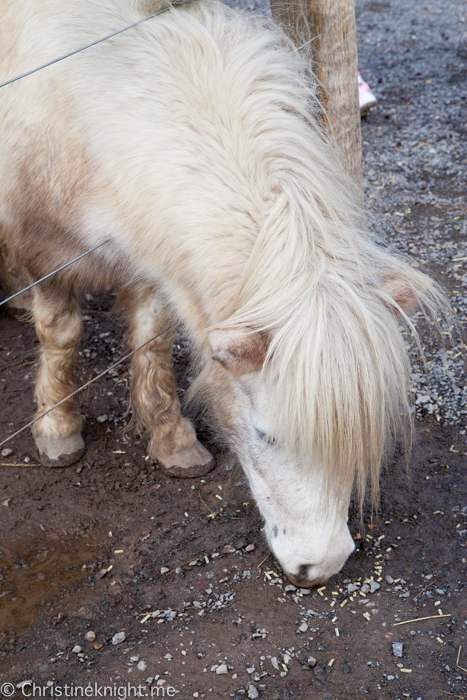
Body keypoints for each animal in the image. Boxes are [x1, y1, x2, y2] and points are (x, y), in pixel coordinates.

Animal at [0, 0, 448, 584]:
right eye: (264, 435)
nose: (320, 566)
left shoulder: (149, 257)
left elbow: (151, 340)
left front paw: (172, 439)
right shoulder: (43, 247)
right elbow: (61, 332)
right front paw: (57, 427)